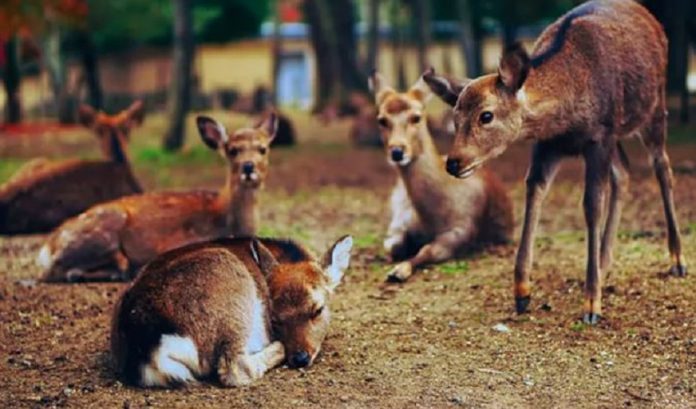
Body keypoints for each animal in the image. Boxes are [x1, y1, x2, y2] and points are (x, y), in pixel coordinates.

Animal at [37, 112, 278, 283]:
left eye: (263, 149)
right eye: (232, 150)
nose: (248, 167)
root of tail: (47, 248)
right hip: (103, 232)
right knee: (64, 271)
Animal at [369, 71, 514, 283]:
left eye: (416, 117)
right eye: (381, 119)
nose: (397, 152)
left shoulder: (461, 230)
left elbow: (428, 250)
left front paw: (398, 271)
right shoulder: (401, 220)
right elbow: (393, 245)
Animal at [423, 0, 687, 324]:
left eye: (486, 115)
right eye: (455, 117)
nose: (454, 162)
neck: (566, 116)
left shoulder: (599, 136)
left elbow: (591, 205)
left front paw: (592, 305)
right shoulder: (549, 145)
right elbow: (534, 191)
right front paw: (522, 293)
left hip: (654, 108)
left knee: (662, 168)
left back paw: (677, 260)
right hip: (618, 136)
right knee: (624, 172)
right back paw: (603, 262)